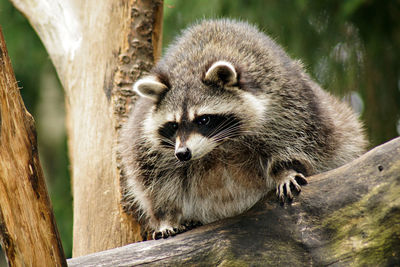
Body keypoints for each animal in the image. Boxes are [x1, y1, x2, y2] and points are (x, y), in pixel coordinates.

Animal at [118, 19, 366, 241]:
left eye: (204, 119)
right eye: (173, 125)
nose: (182, 154)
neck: (219, 147)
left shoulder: (287, 101)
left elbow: (296, 138)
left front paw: (285, 170)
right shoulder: (146, 139)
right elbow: (154, 181)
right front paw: (166, 217)